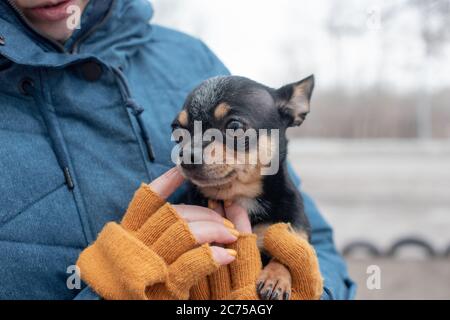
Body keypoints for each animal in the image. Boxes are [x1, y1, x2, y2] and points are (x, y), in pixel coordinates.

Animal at [172, 75, 316, 300]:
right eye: (177, 131)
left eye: (234, 126)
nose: (186, 155)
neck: (241, 195)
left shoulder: (297, 223)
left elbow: (293, 245)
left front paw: (276, 277)